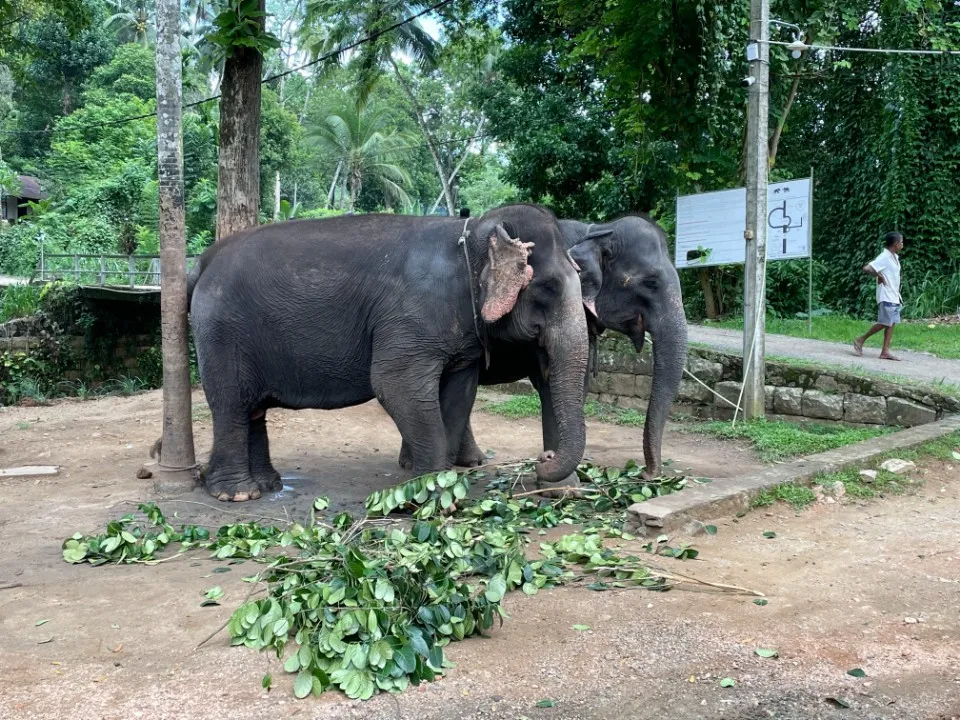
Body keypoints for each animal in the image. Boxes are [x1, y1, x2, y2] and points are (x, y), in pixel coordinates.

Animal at [184, 202, 588, 500]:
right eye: (548, 288)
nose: (543, 457)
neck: (470, 233)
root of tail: (202, 261)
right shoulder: (410, 317)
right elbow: (393, 383)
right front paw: (426, 493)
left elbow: (459, 392)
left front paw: (442, 486)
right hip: (222, 332)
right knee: (232, 404)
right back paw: (237, 494)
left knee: (252, 409)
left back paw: (267, 486)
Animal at [398, 215, 688, 484]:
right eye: (651, 283)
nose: (648, 474)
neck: (596, 229)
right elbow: (551, 381)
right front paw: (562, 485)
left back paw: (467, 461)